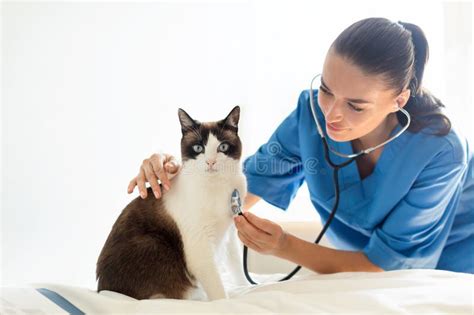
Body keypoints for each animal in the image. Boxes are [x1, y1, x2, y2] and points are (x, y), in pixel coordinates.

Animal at [98, 106, 250, 302]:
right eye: (198, 148)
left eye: (222, 147)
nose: (210, 162)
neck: (217, 186)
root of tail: (102, 289)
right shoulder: (200, 248)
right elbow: (218, 290)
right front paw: (225, 303)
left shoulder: (230, 233)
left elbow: (237, 268)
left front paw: (245, 289)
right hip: (153, 244)